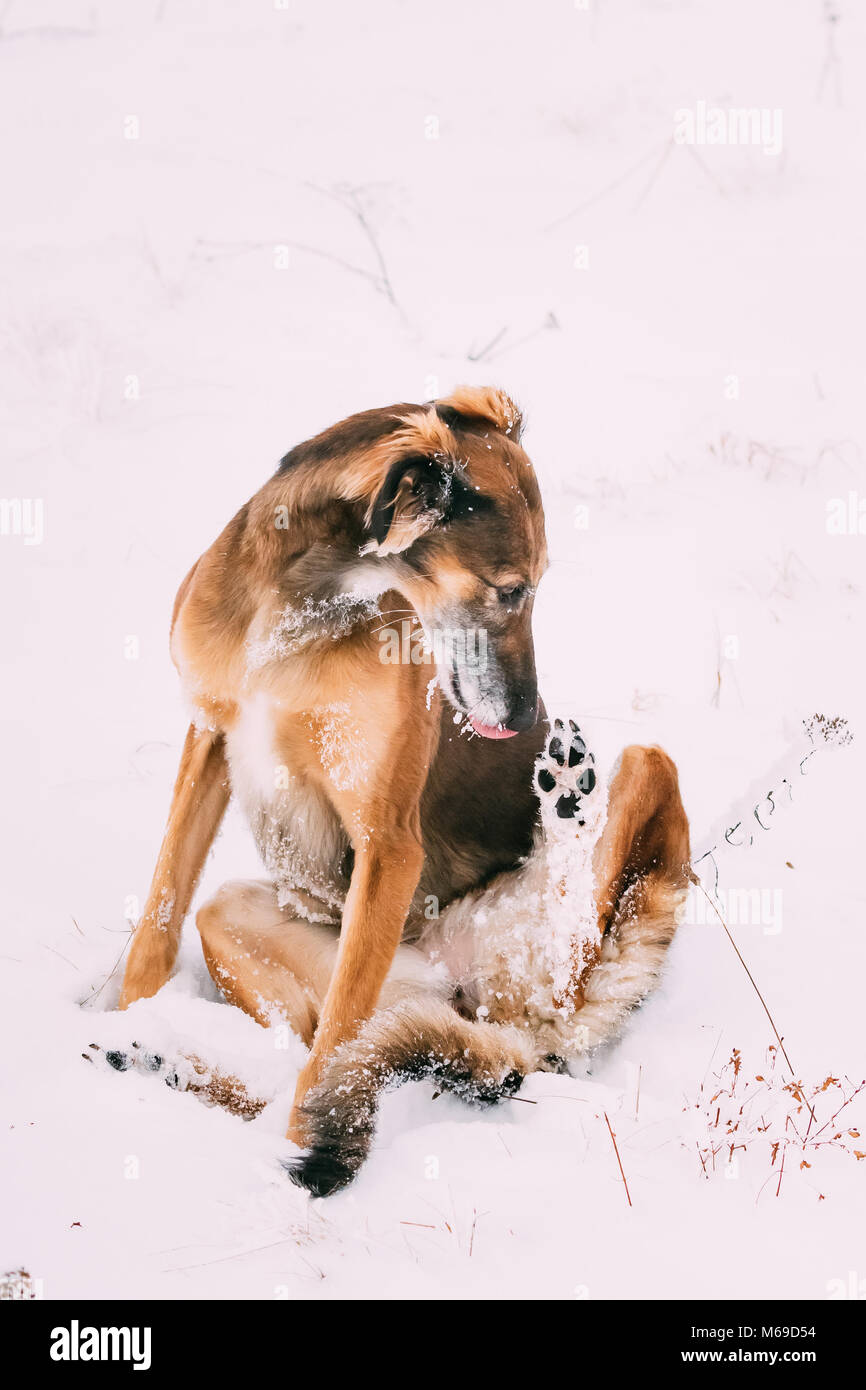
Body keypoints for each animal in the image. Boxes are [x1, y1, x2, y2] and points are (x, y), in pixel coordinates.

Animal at [118, 386, 692, 1189]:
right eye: (511, 590)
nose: (526, 722)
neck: (302, 602)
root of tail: (470, 992)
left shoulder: (388, 839)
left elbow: (337, 1046)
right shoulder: (209, 737)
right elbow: (160, 914)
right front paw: (127, 1013)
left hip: (645, 774)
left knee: (576, 956)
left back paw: (571, 798)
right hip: (242, 919)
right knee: (307, 1046)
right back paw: (162, 1062)